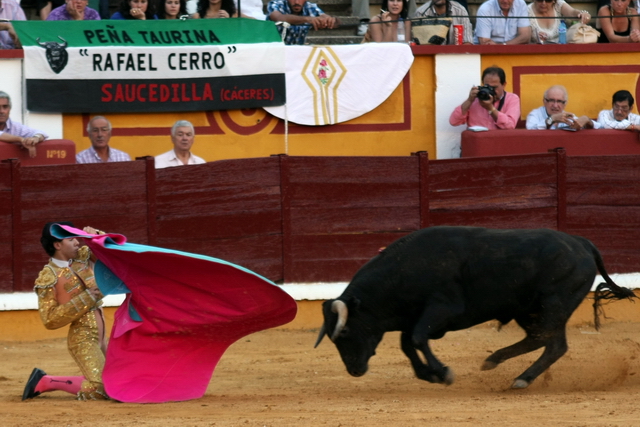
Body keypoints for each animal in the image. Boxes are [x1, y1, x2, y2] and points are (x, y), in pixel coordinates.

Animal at [316, 229, 636, 390]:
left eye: (345, 331)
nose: (354, 370)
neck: (403, 271)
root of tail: (582, 243)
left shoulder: (441, 308)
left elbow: (417, 339)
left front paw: (442, 373)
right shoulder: (414, 317)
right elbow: (408, 343)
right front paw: (429, 374)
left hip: (553, 304)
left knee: (551, 343)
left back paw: (520, 378)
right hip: (529, 310)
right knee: (544, 340)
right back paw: (497, 363)